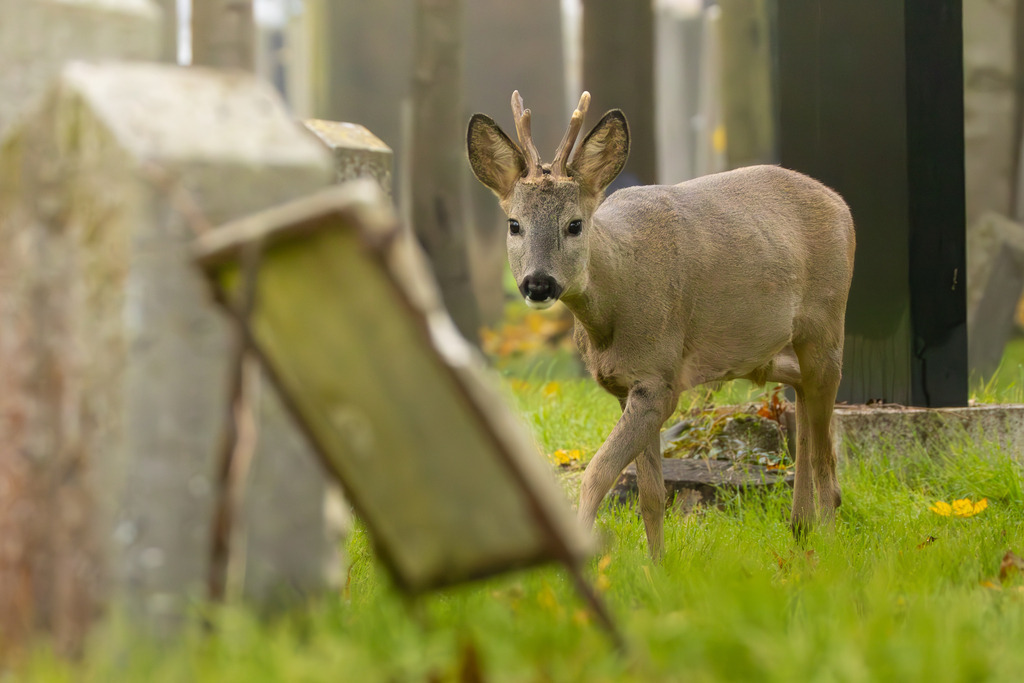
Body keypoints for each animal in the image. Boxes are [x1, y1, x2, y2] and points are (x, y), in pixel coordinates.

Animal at [466, 91, 855, 559]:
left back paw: (829, 542)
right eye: (514, 224)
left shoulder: (659, 379)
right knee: (799, 388)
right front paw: (657, 565)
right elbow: (651, 493)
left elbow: (598, 473)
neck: (611, 315)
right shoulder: (627, 385)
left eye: (574, 224)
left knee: (825, 444)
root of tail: (841, 204)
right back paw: (800, 525)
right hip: (765, 348)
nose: (538, 283)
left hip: (828, 319)